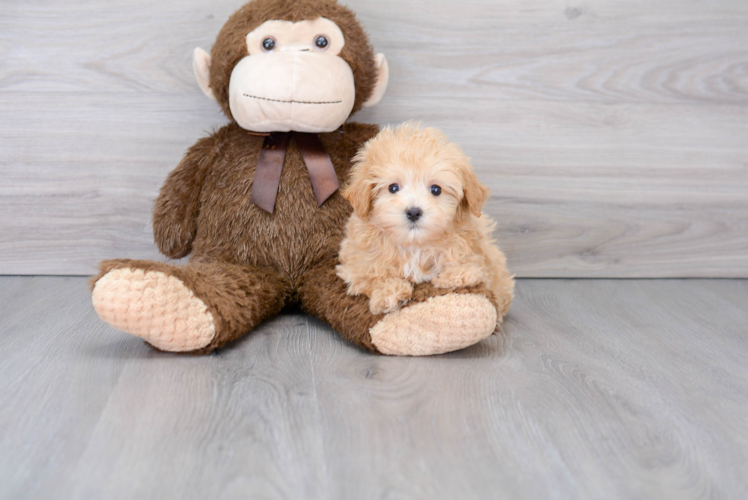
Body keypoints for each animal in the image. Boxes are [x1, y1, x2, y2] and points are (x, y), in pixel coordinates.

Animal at [338, 122, 516, 316]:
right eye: (393, 188)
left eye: (436, 189)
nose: (414, 212)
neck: (415, 245)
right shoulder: (355, 261)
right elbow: (372, 273)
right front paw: (390, 293)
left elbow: (470, 262)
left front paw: (455, 274)